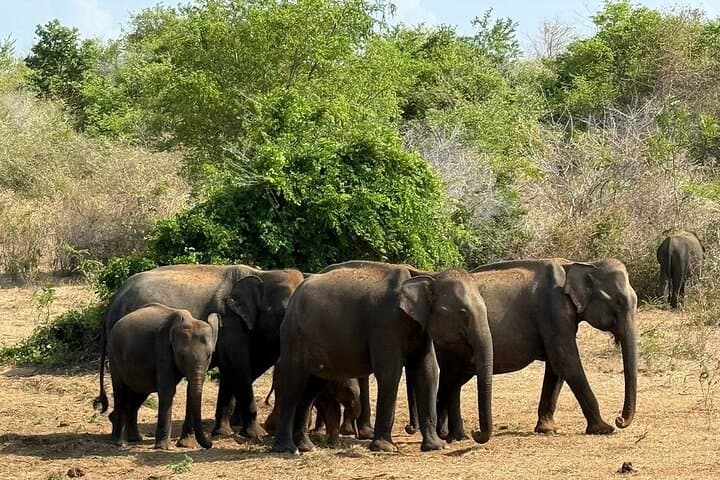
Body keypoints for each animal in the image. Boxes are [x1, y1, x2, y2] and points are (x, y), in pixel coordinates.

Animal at [100, 303, 219, 449]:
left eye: (210, 355)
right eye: (182, 356)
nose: (211, 443)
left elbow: (190, 391)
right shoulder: (163, 348)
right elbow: (167, 390)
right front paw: (162, 447)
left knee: (138, 393)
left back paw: (135, 439)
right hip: (114, 357)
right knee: (121, 392)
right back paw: (121, 443)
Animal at [270, 262, 493, 454]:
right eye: (463, 313)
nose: (475, 433)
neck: (426, 275)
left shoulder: (420, 327)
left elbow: (428, 371)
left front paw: (436, 446)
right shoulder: (385, 322)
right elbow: (390, 372)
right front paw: (385, 448)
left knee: (312, 388)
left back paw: (306, 446)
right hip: (294, 336)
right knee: (293, 384)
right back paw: (288, 449)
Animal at [405, 258, 638, 441]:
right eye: (618, 302)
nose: (620, 419)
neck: (575, 265)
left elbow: (556, 367)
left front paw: (547, 429)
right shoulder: (554, 311)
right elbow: (565, 360)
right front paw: (604, 429)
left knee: (452, 380)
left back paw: (447, 434)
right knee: (450, 377)